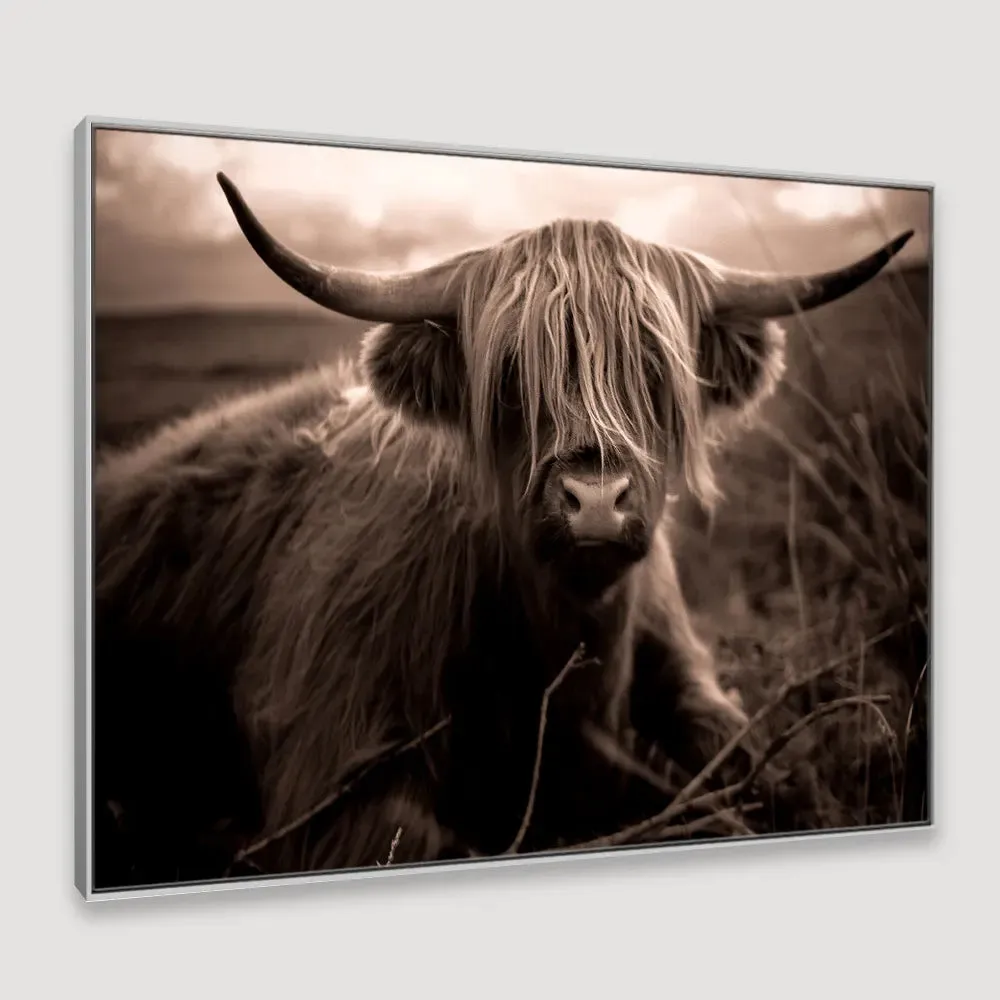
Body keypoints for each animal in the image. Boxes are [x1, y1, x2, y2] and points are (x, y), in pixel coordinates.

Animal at [91, 169, 913, 889]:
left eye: (655, 371)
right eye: (514, 374)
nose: (596, 498)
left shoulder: (687, 677)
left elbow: (773, 775)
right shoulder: (331, 765)